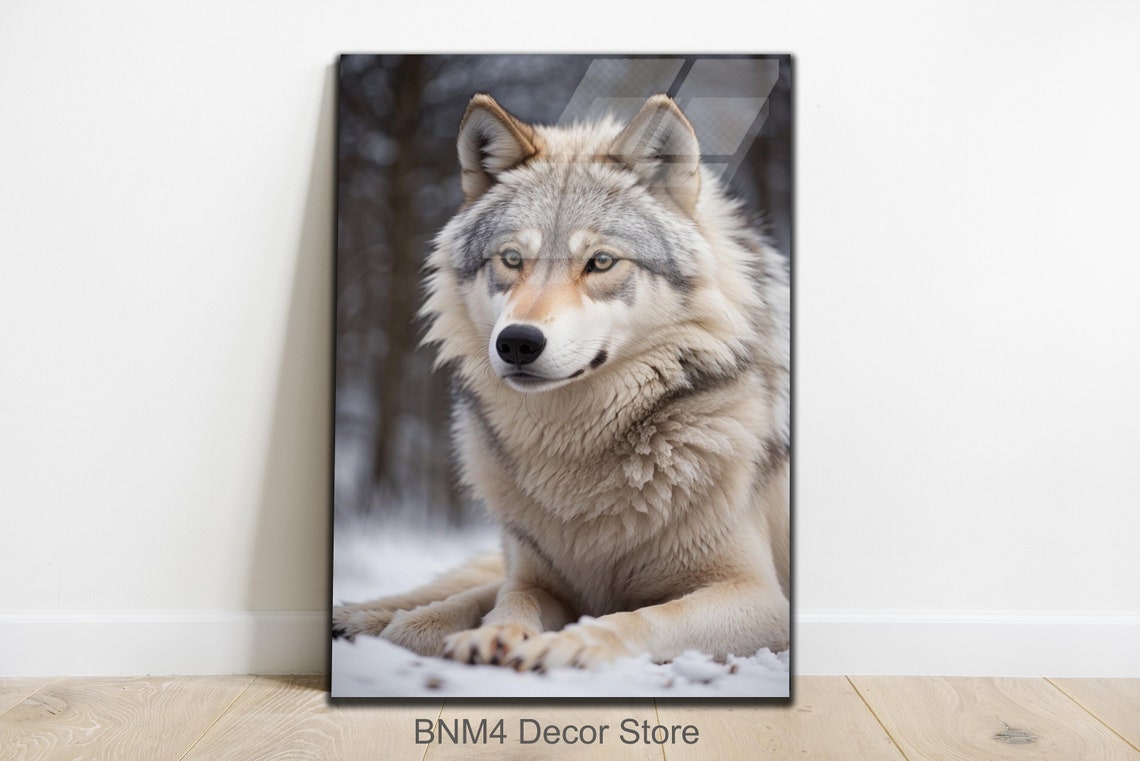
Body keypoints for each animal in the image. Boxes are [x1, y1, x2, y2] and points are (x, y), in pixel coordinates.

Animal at [333, 92, 790, 671]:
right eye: (511, 259)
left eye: (600, 262)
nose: (517, 343)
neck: (576, 450)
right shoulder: (537, 574)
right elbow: (512, 599)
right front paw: (492, 634)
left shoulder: (760, 598)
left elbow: (647, 617)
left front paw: (572, 645)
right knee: (459, 586)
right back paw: (362, 617)